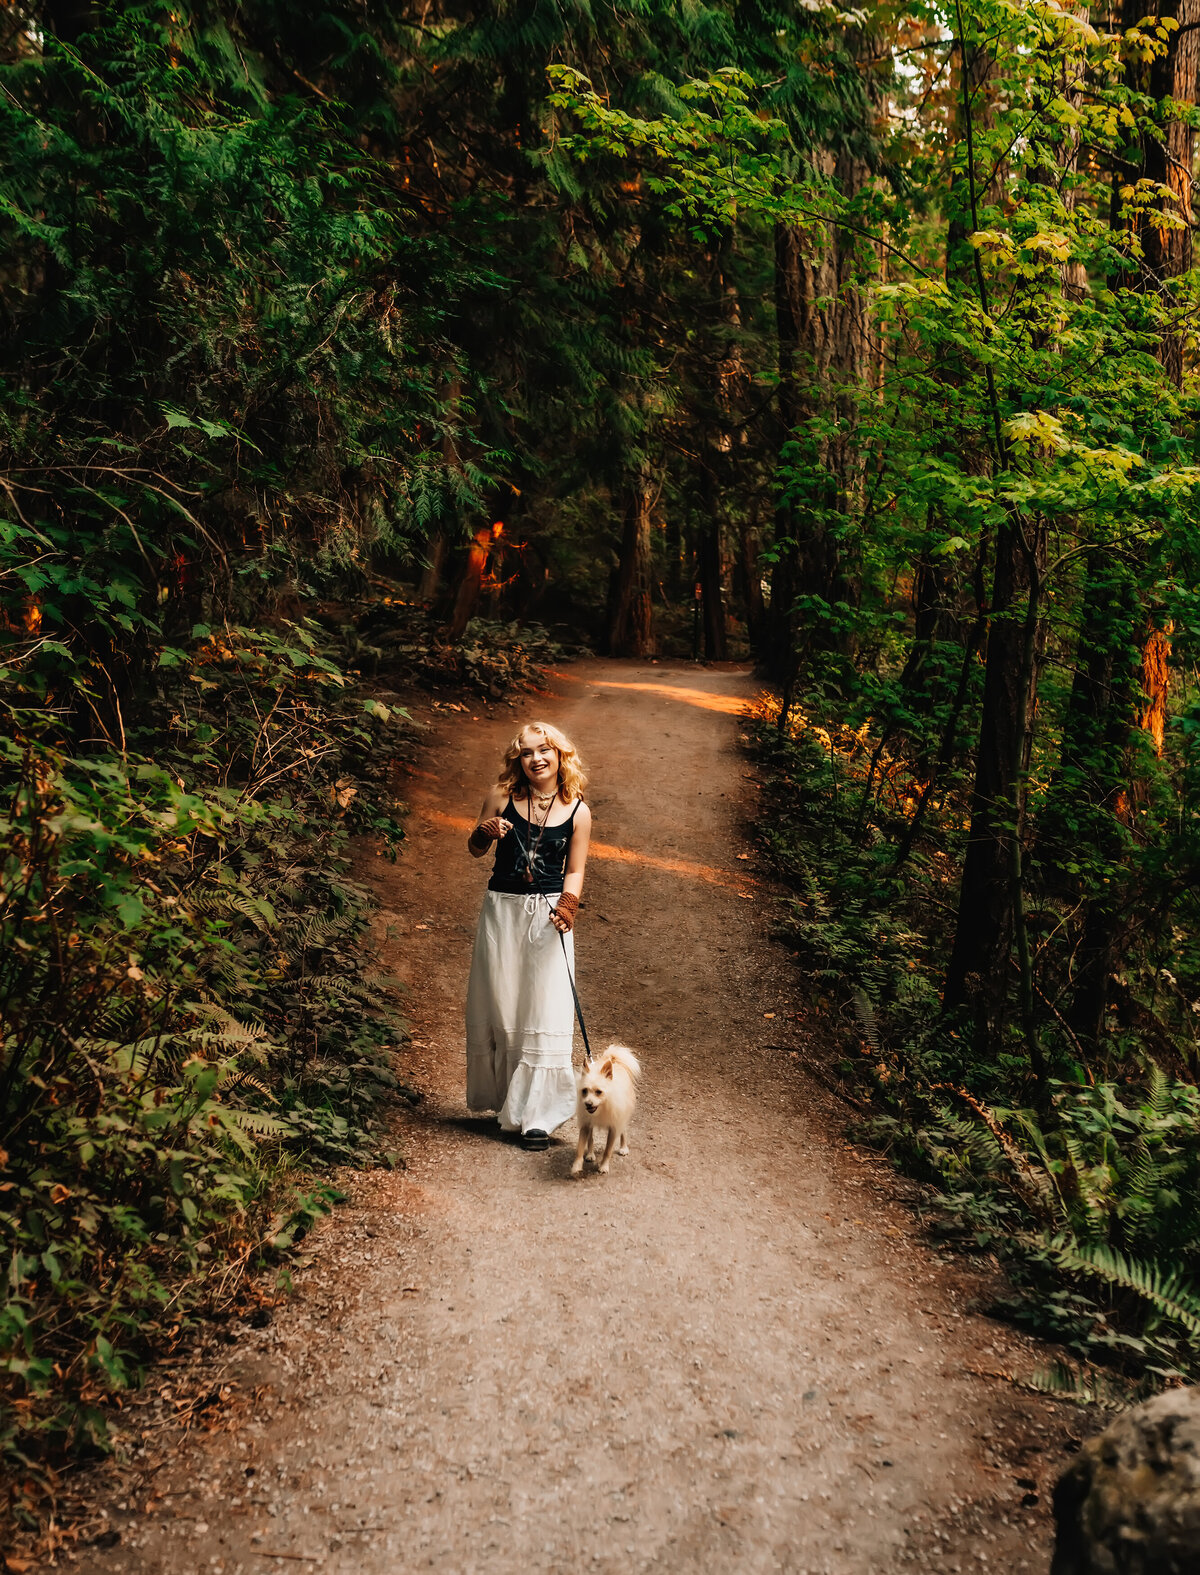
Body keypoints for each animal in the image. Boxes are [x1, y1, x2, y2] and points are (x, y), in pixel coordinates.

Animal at [566, 1039, 636, 1178]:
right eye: (584, 1091)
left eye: (599, 1092)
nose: (588, 1104)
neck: (603, 1106)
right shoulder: (586, 1124)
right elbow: (580, 1147)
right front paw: (576, 1166)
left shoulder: (614, 1127)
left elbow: (608, 1151)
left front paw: (603, 1166)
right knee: (591, 1138)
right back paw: (590, 1154)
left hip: (623, 1116)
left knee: (624, 1131)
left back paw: (623, 1148)